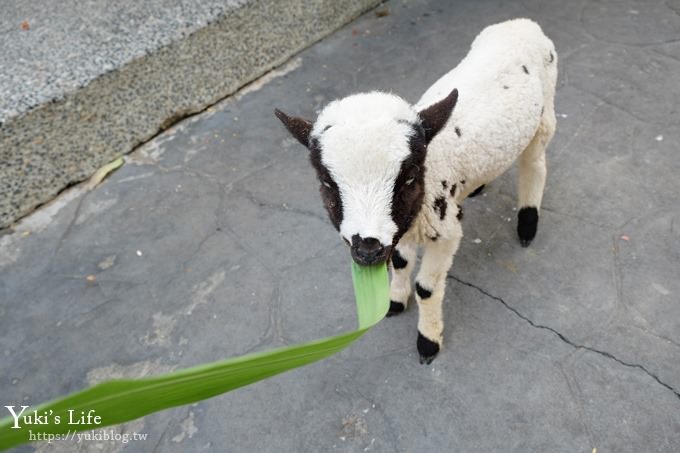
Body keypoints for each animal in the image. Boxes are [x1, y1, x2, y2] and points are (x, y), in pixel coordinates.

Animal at [274, 18, 556, 364]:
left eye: (409, 178)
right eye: (327, 183)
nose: (367, 251)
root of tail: (521, 24)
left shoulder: (446, 231)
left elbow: (427, 288)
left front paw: (428, 340)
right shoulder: (401, 227)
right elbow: (400, 262)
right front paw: (395, 301)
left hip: (544, 115)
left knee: (534, 165)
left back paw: (528, 224)